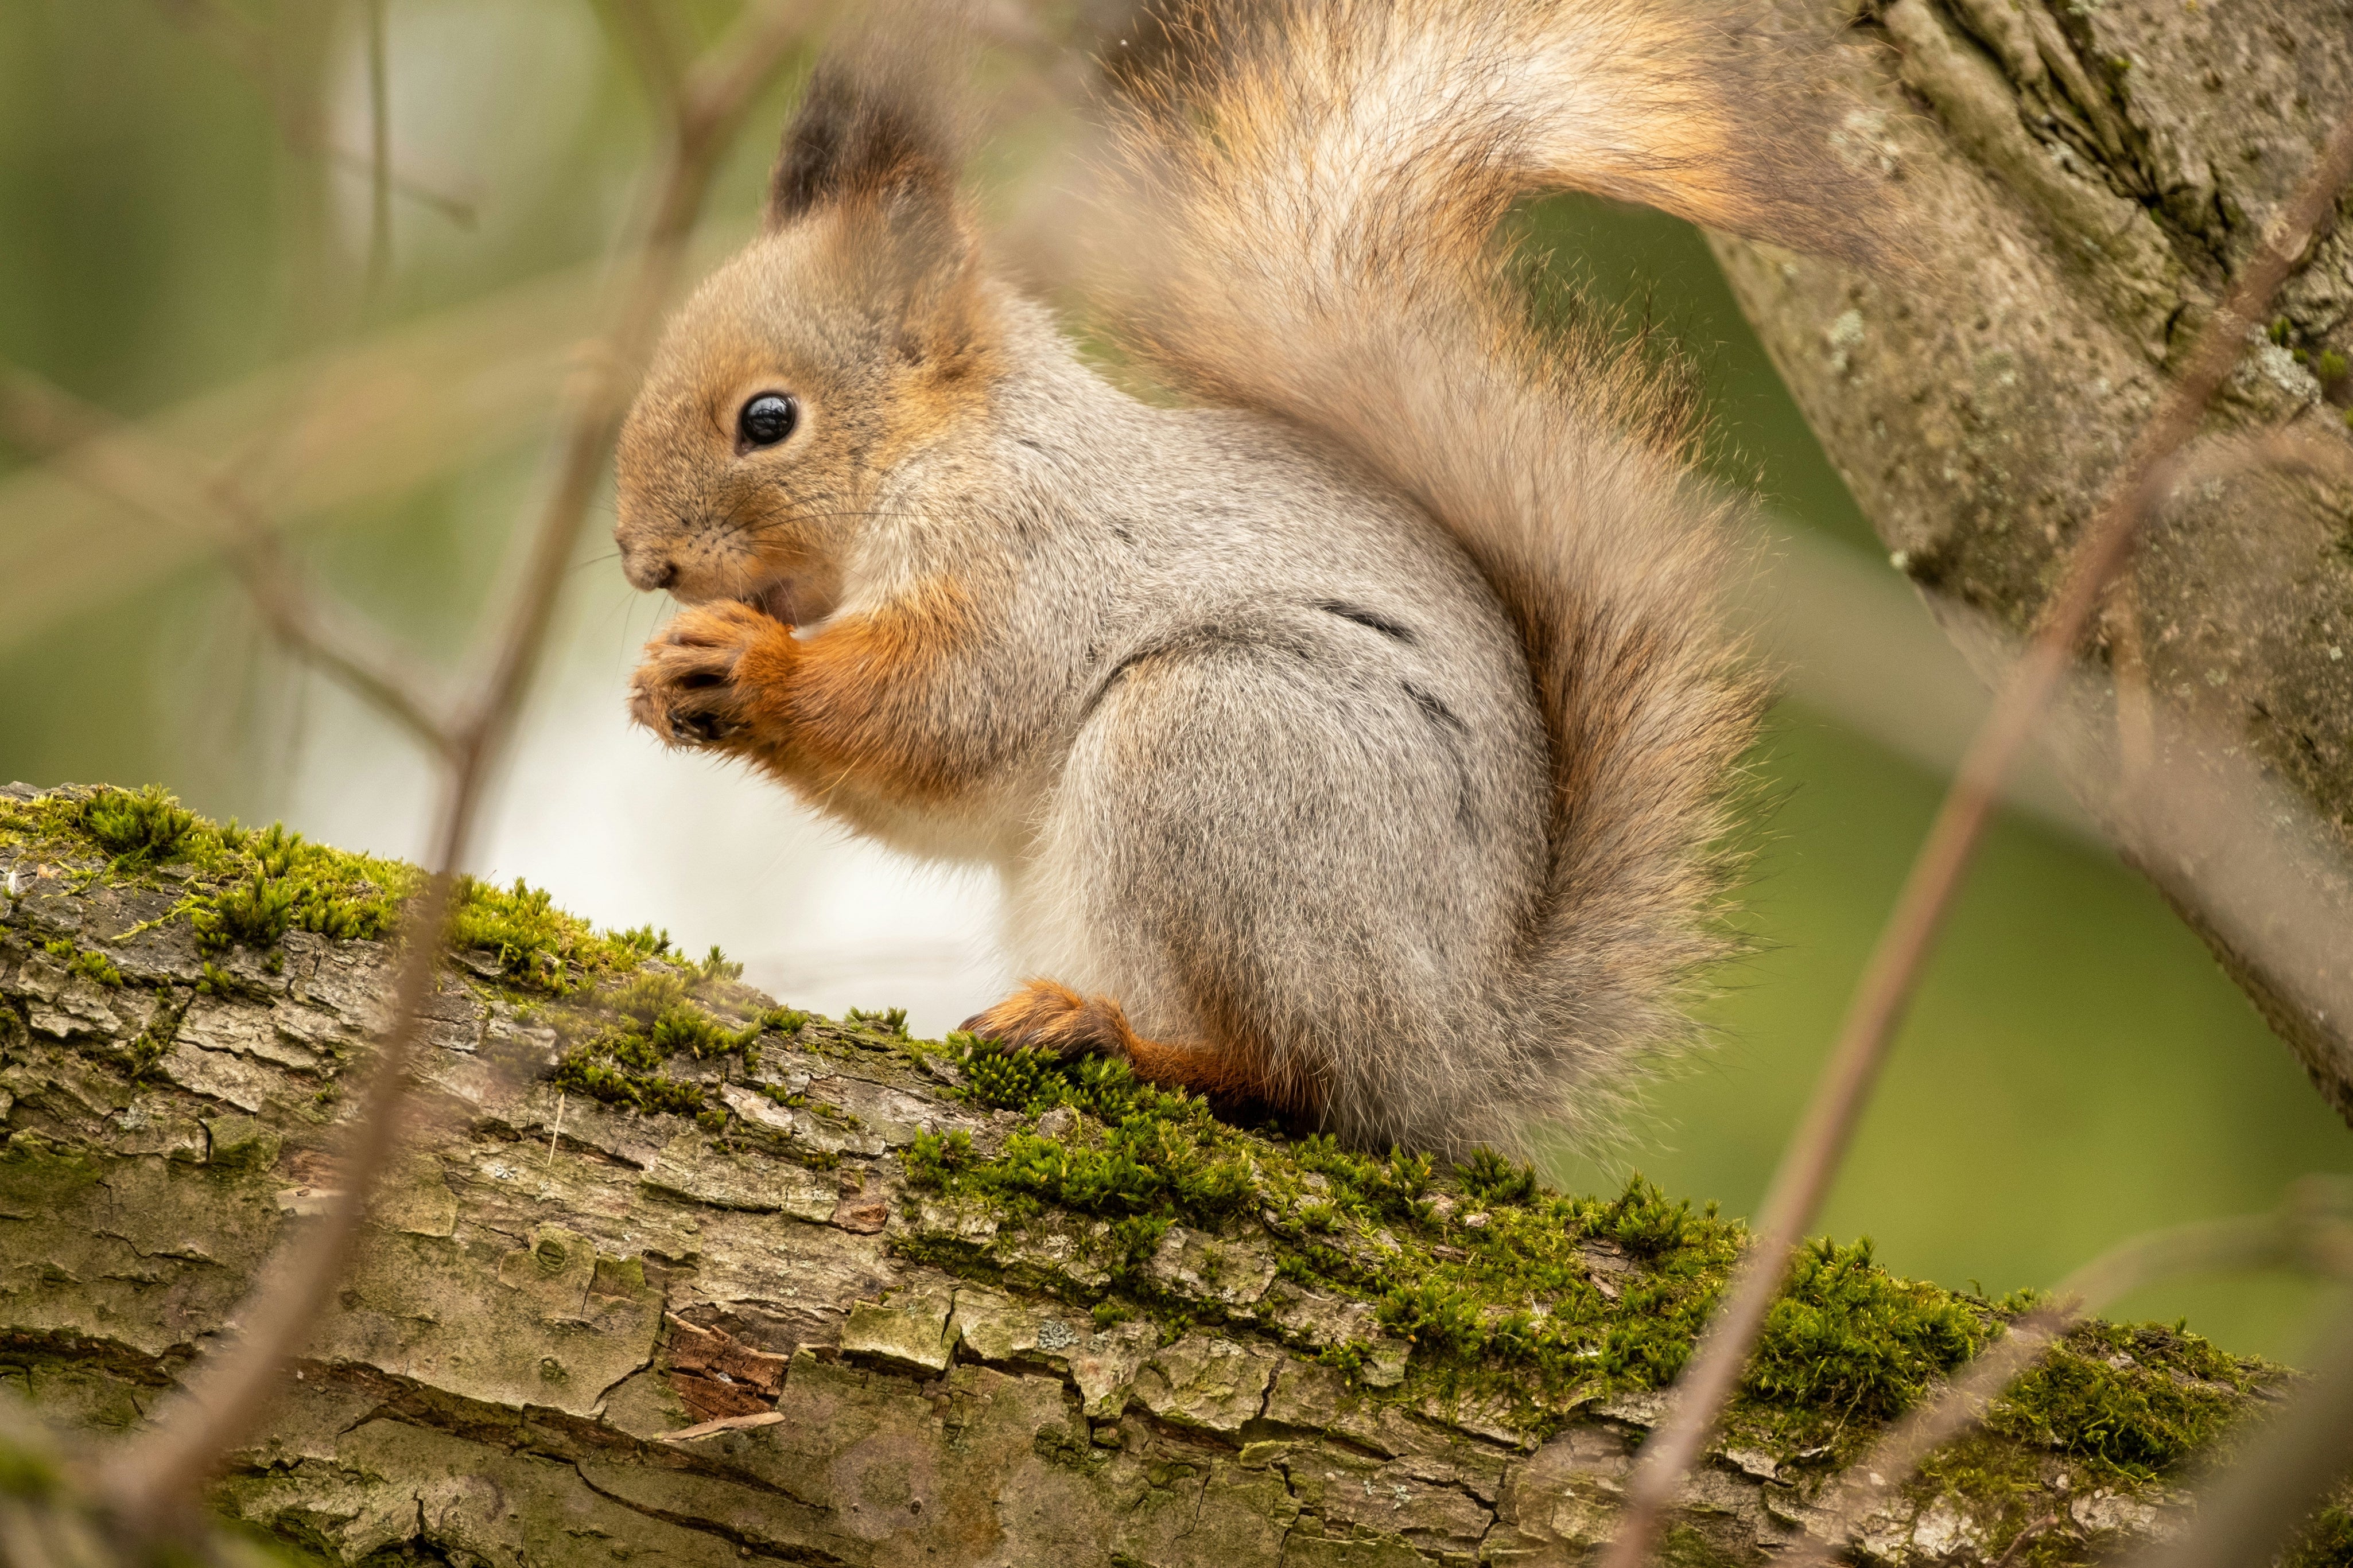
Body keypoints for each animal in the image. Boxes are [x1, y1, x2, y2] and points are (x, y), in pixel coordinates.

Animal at [614, 0, 1885, 1156]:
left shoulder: (1027, 550)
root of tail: (1460, 1048)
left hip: (1220, 751)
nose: (642, 561)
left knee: (1297, 1079)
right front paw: (664, 679)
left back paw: (1118, 1038)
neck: (940, 447)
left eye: (767, 419)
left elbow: (951, 706)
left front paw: (748, 662)